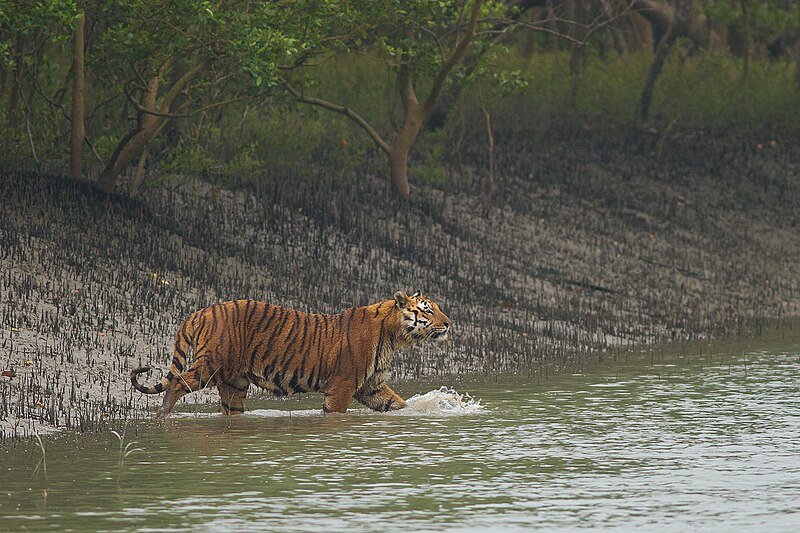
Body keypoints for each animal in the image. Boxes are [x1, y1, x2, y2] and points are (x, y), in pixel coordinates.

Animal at [128, 290, 446, 416]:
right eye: (429, 310)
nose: (450, 323)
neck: (394, 335)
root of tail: (199, 311)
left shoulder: (371, 386)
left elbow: (398, 405)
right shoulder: (343, 385)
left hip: (234, 383)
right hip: (210, 364)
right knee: (177, 383)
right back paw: (163, 417)